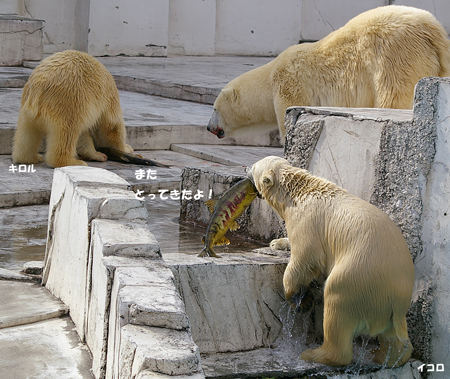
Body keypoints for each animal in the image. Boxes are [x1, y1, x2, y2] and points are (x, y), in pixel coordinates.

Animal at [209, 5, 450, 140]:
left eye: (214, 108)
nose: (209, 127)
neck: (269, 78)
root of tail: (433, 30)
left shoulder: (290, 84)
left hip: (395, 56)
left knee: (394, 96)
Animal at [246, 157, 414, 368]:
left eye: (254, 167)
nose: (245, 169)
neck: (298, 192)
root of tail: (397, 297)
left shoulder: (307, 220)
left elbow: (306, 257)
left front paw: (299, 299)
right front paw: (277, 242)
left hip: (359, 277)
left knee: (337, 303)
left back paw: (314, 354)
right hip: (389, 303)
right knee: (393, 335)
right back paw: (386, 357)